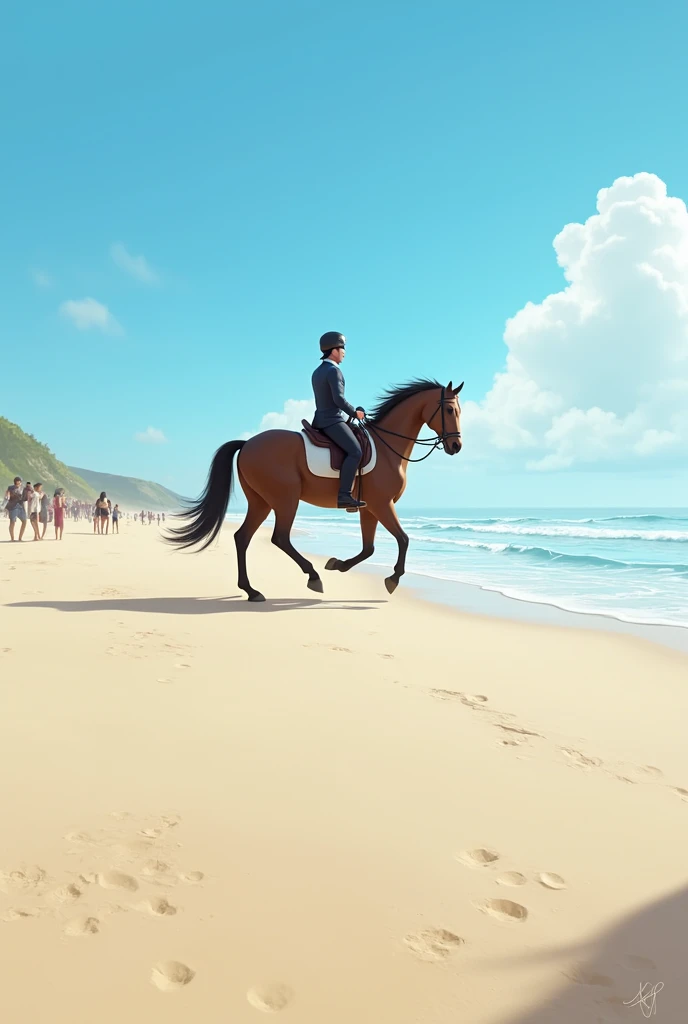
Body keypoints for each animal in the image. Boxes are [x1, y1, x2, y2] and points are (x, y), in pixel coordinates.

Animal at [166, 378, 464, 598]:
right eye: (450, 410)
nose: (456, 446)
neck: (387, 448)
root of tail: (247, 443)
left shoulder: (369, 509)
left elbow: (369, 549)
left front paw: (338, 564)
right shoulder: (382, 504)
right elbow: (403, 539)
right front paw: (392, 579)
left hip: (261, 502)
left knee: (243, 537)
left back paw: (252, 591)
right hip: (285, 499)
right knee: (280, 537)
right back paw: (312, 577)